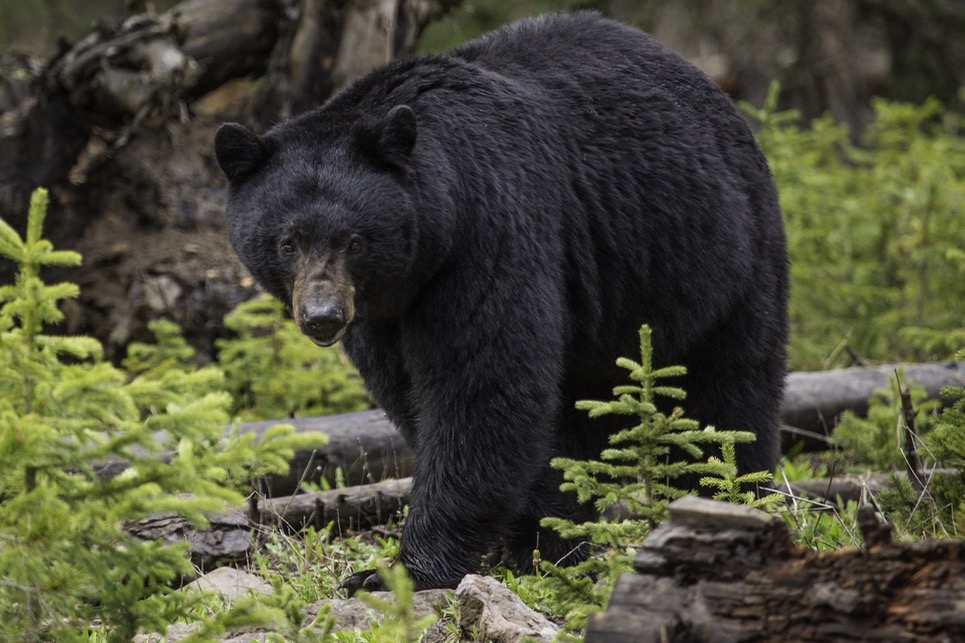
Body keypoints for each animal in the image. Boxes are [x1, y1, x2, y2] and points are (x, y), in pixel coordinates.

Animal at [214, 11, 788, 592]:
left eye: (354, 241)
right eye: (288, 242)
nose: (322, 317)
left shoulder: (489, 231)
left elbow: (483, 388)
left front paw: (401, 570)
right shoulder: (384, 313)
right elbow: (413, 393)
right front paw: (535, 540)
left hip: (720, 258)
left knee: (728, 392)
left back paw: (727, 497)